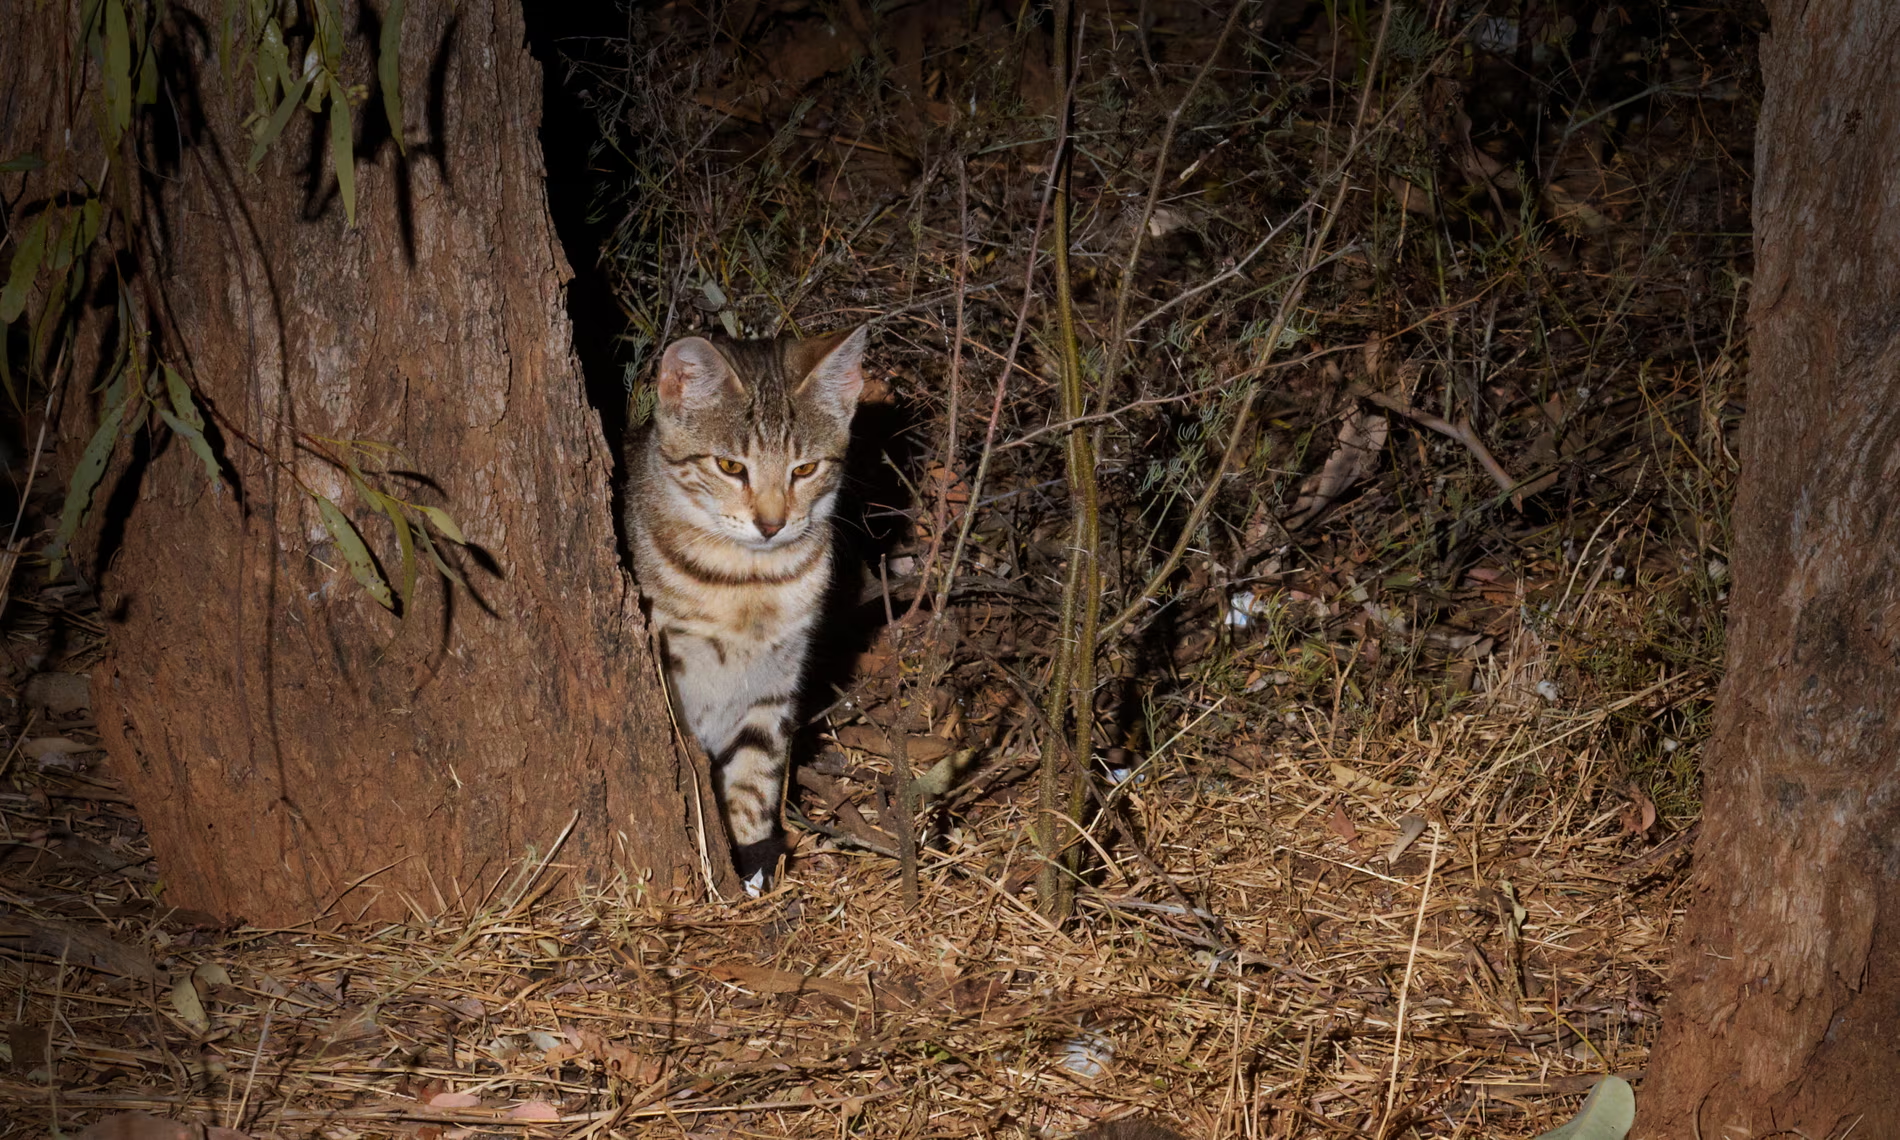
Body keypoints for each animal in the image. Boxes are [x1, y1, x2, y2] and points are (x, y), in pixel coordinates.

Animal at [627, 324, 866, 885]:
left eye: (806, 468)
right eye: (730, 465)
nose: (772, 524)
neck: (748, 585)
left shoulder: (773, 686)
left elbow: (756, 776)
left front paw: (753, 856)